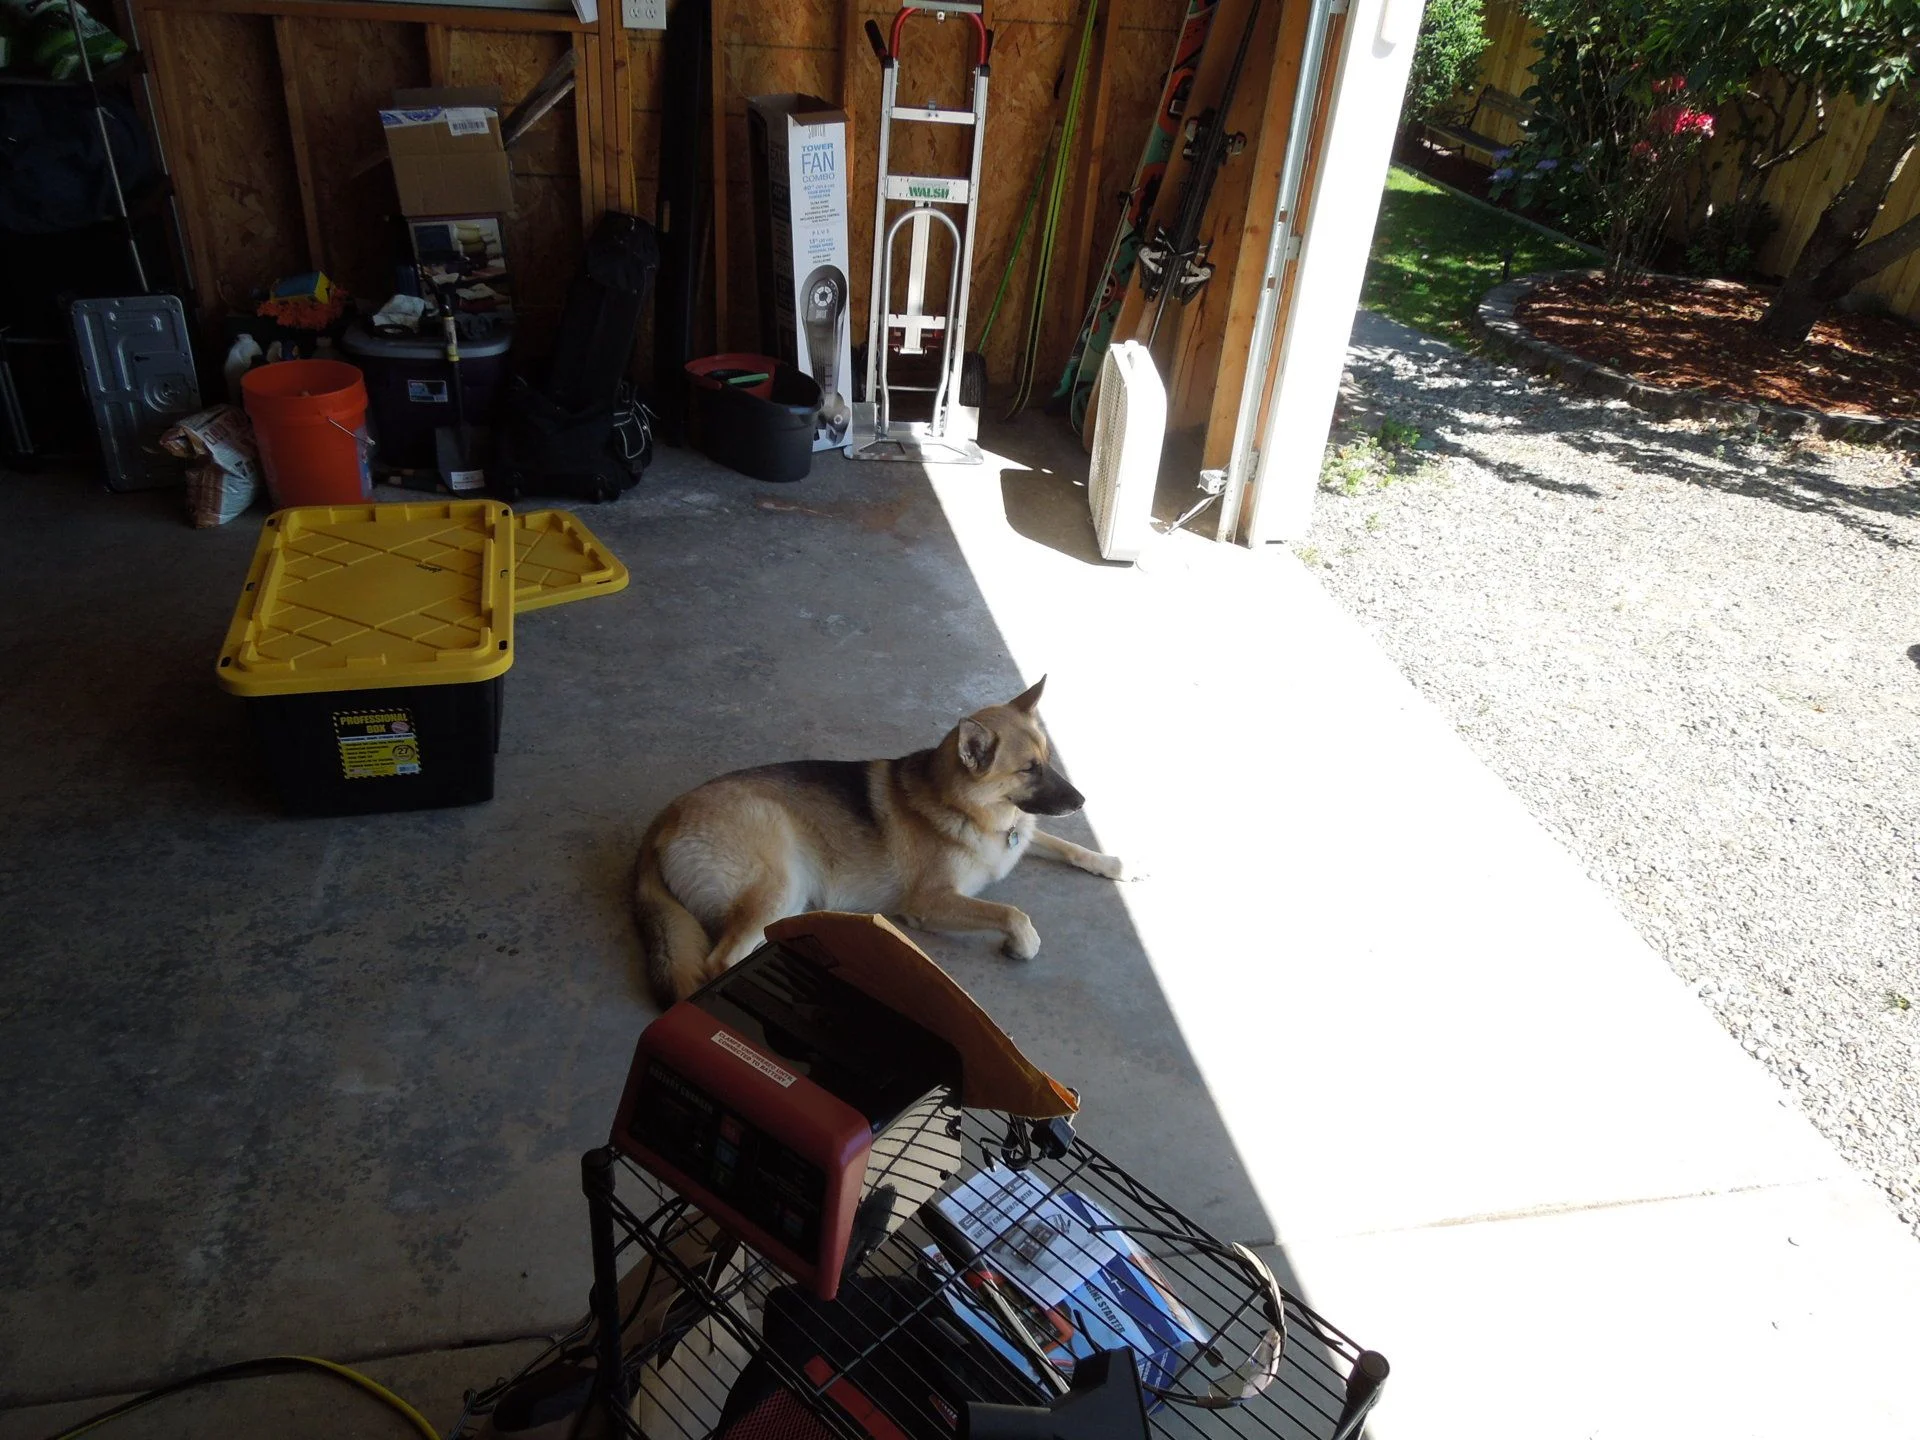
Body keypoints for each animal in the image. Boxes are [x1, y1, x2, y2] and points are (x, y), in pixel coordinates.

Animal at [637, 683, 1121, 1006]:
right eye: (1028, 769)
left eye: (1049, 761)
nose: (1082, 802)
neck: (963, 804)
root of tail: (662, 822)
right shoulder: (932, 901)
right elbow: (1009, 912)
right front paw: (1024, 942)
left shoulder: (1021, 837)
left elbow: (1062, 844)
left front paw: (1110, 862)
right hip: (780, 882)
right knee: (721, 960)